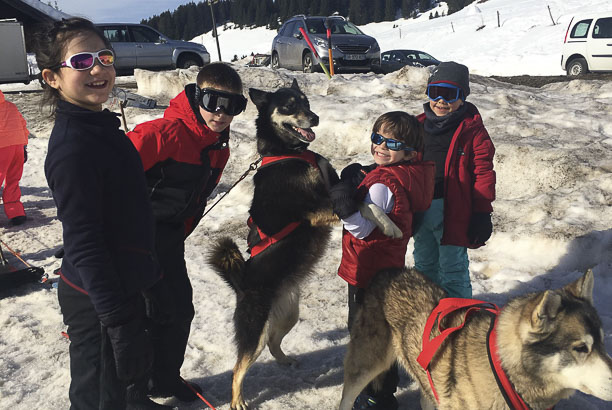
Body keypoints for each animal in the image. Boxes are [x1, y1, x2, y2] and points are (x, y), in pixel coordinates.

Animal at [210, 80, 402, 410]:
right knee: (239, 366)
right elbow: (362, 203)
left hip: (288, 314)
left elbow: (353, 187)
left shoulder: (332, 187)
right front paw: (389, 224)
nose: (314, 118)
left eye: (306, 102)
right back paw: (238, 400)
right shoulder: (316, 208)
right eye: (288, 106)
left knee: (273, 341)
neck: (289, 153)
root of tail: (240, 282)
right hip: (254, 329)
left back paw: (285, 360)